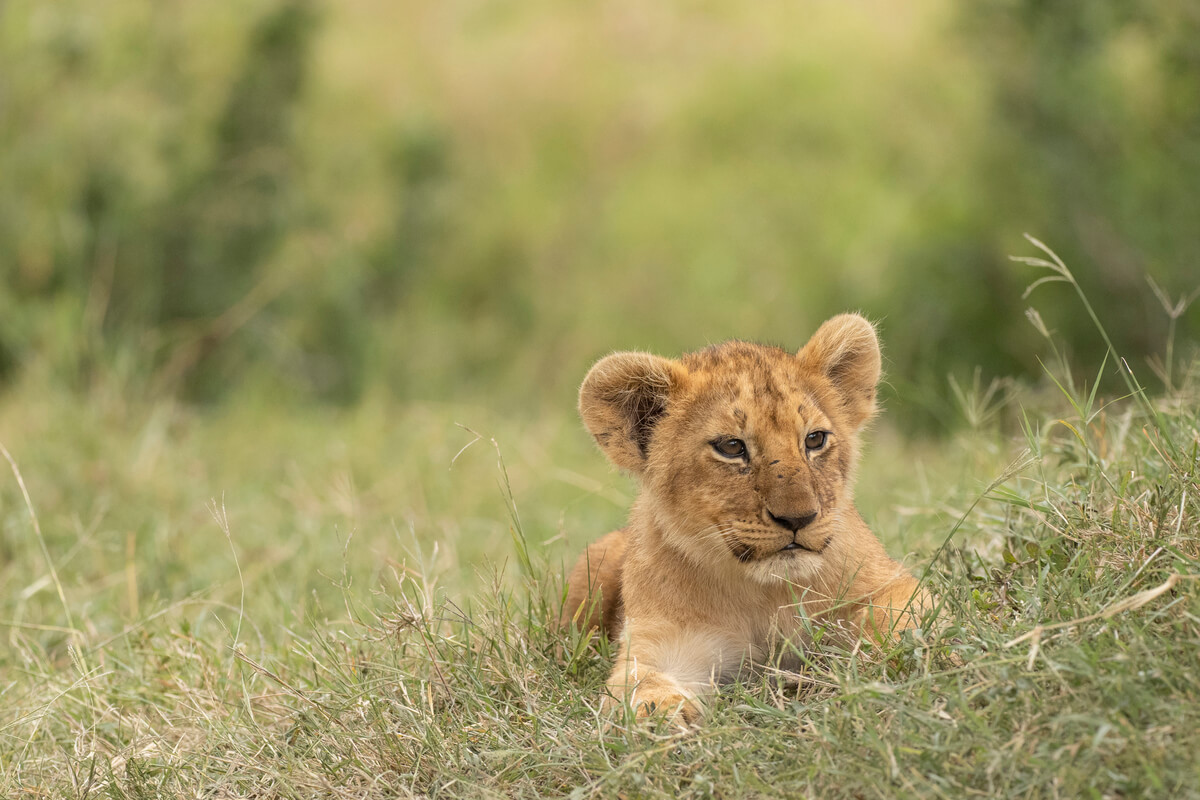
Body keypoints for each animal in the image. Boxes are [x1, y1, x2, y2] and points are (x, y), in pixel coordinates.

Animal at [562, 313, 929, 727]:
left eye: (814, 439)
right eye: (731, 447)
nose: (798, 518)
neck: (762, 593)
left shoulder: (887, 586)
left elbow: (904, 619)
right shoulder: (659, 640)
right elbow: (641, 682)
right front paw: (661, 712)